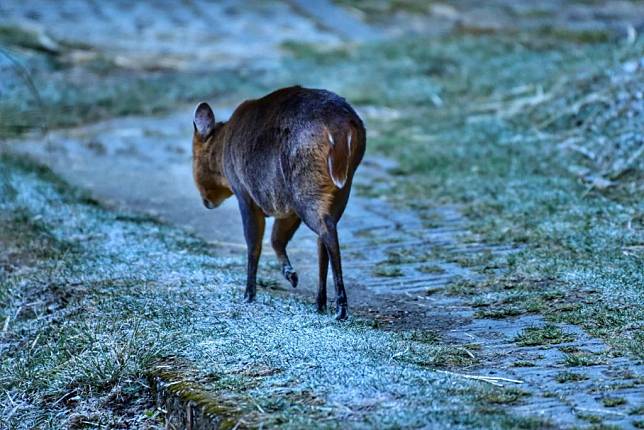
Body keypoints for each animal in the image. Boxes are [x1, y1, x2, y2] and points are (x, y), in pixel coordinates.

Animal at [191, 85, 364, 320]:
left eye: (194, 156)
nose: (206, 200)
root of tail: (341, 128)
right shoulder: (287, 207)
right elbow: (276, 239)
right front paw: (291, 275)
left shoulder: (245, 193)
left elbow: (254, 243)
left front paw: (249, 294)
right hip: (340, 188)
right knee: (323, 237)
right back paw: (320, 303)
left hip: (305, 185)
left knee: (326, 231)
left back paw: (341, 308)